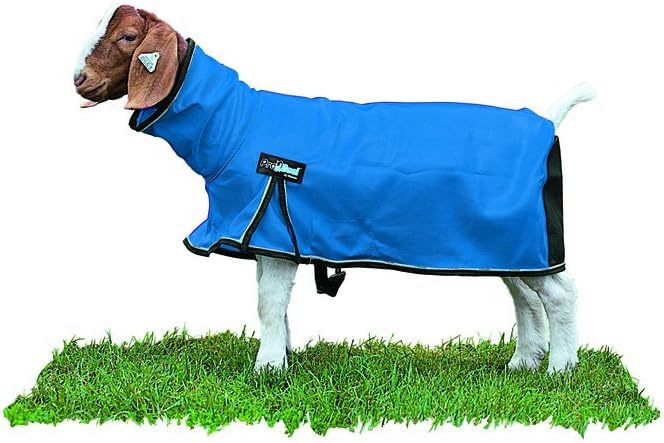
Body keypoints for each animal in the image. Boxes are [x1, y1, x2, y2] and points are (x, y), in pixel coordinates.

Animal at [75, 4, 594, 374]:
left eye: (127, 37)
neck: (235, 125)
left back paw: (560, 369)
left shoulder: (270, 223)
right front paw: (283, 360)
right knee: (525, 295)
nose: (79, 78)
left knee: (561, 294)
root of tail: (546, 121)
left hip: (526, 236)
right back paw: (523, 362)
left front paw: (265, 369)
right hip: (509, 243)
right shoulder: (270, 238)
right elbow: (276, 305)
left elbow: (268, 303)